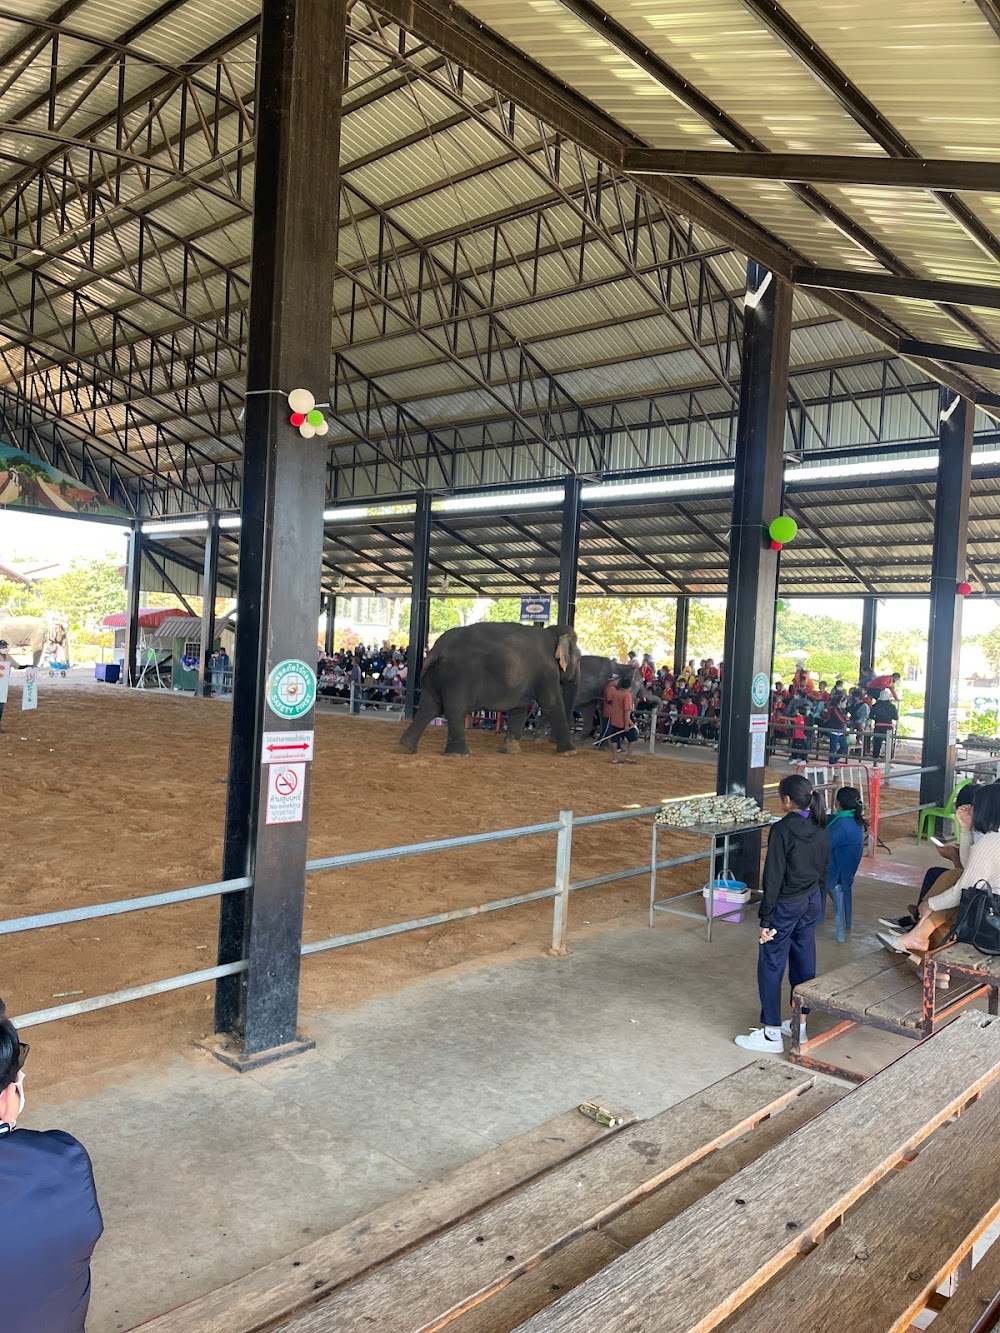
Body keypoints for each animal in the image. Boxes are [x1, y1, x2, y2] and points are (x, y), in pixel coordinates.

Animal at [400, 621, 584, 757]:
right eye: (579, 658)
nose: (542, 739)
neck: (552, 634)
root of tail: (436, 650)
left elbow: (519, 707)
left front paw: (511, 751)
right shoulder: (547, 670)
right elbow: (552, 703)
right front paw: (570, 752)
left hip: (435, 678)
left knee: (428, 708)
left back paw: (406, 747)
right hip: (458, 677)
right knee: (455, 711)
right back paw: (461, 753)